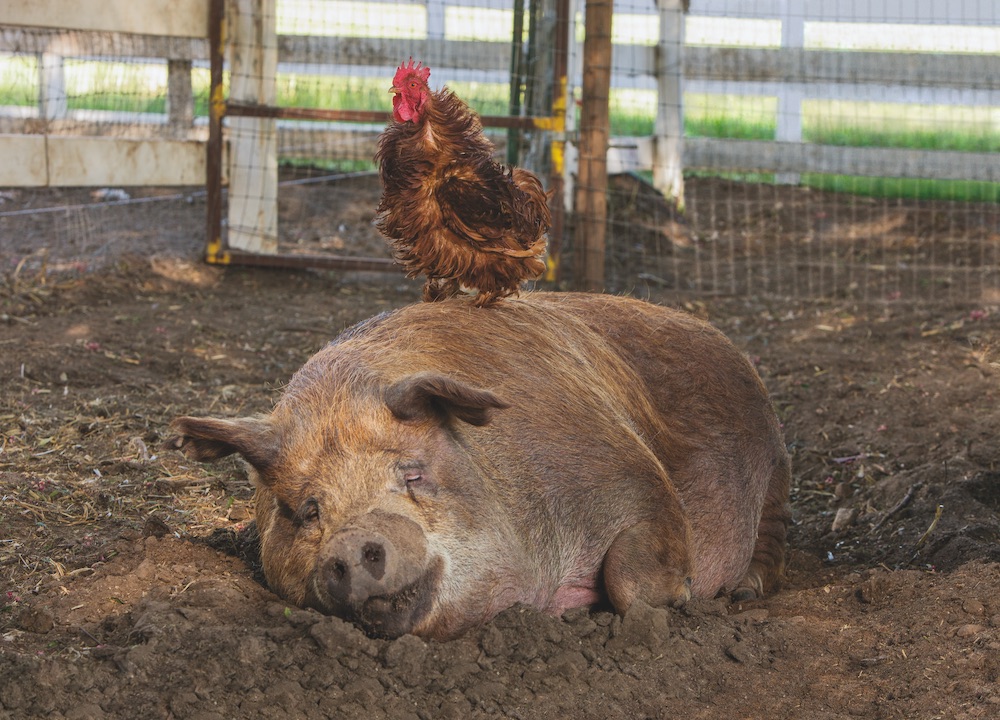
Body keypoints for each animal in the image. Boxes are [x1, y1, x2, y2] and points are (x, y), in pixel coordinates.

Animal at [166, 292, 790, 640]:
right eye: (305, 509)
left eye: (414, 473)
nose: (354, 540)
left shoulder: (636, 478)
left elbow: (632, 576)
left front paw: (683, 598)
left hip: (777, 463)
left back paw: (744, 593)